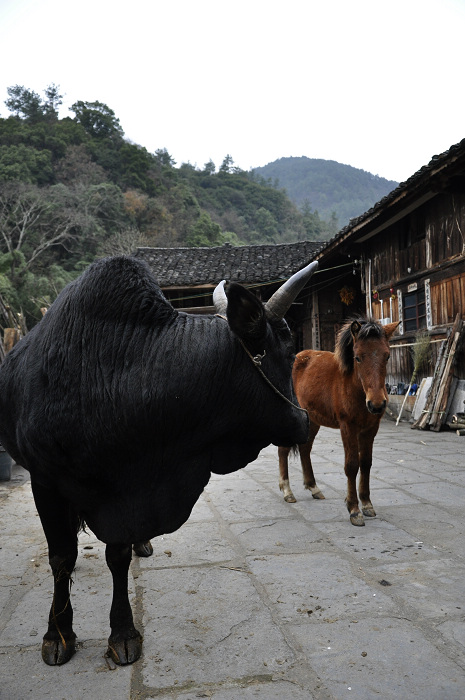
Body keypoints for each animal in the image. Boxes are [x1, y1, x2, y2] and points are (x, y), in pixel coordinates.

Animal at [0, 254, 316, 664]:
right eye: (289, 347)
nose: (305, 420)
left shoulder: (125, 494)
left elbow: (117, 555)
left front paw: (122, 631)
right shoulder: (46, 480)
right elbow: (61, 557)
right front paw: (57, 634)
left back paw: (143, 545)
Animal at [278, 318, 396, 524]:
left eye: (387, 356)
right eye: (358, 357)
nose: (376, 404)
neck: (354, 387)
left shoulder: (370, 429)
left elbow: (366, 463)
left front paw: (367, 504)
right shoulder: (347, 427)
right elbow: (352, 465)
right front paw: (354, 509)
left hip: (313, 420)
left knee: (305, 449)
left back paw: (314, 487)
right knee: (283, 450)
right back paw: (287, 491)